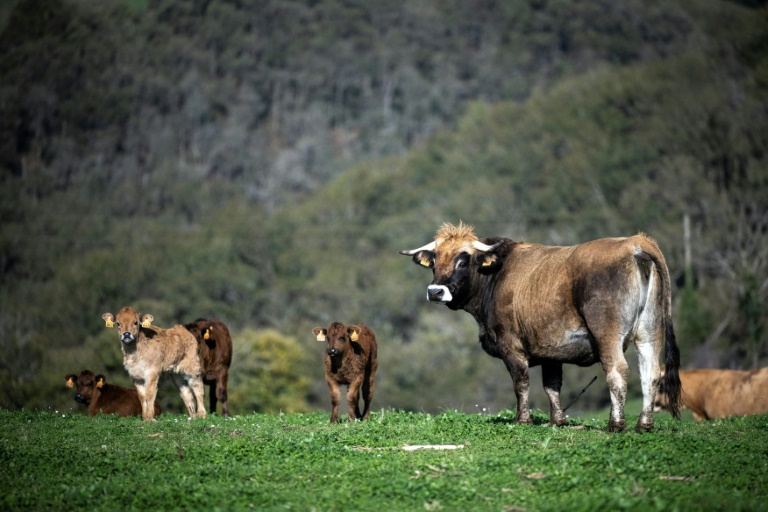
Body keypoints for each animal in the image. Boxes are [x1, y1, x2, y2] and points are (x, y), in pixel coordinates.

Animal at [400, 222, 680, 430]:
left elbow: (521, 382)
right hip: (650, 333)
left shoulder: (510, 345)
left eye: (462, 260)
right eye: (435, 261)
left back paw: (616, 424)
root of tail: (635, 242)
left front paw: (522, 420)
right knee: (650, 373)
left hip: (607, 335)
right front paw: (558, 421)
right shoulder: (551, 351)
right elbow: (552, 386)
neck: (495, 274)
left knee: (618, 372)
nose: (435, 291)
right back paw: (644, 424)